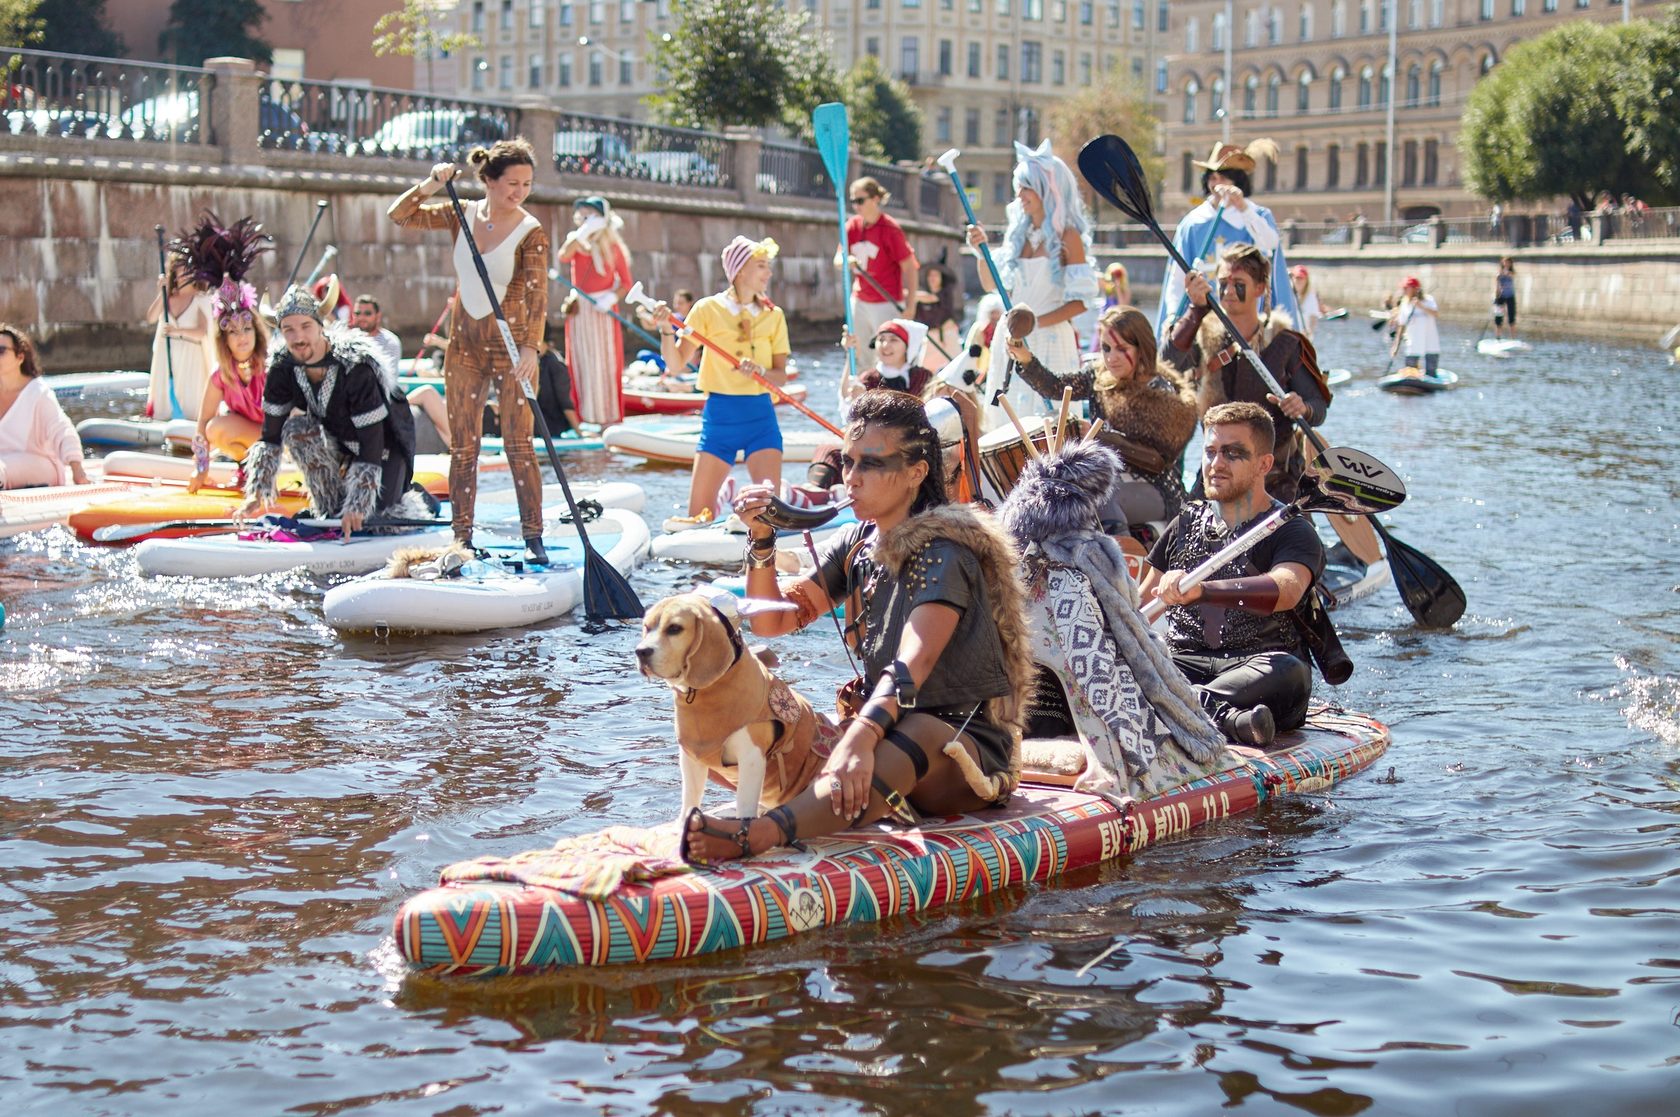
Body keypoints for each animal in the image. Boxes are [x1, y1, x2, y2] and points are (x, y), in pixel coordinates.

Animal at [631, 591, 829, 819]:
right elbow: (690, 800)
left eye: (674, 628)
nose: (641, 652)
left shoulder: (751, 758)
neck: (705, 692)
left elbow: (744, 805)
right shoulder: (691, 758)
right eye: (646, 627)